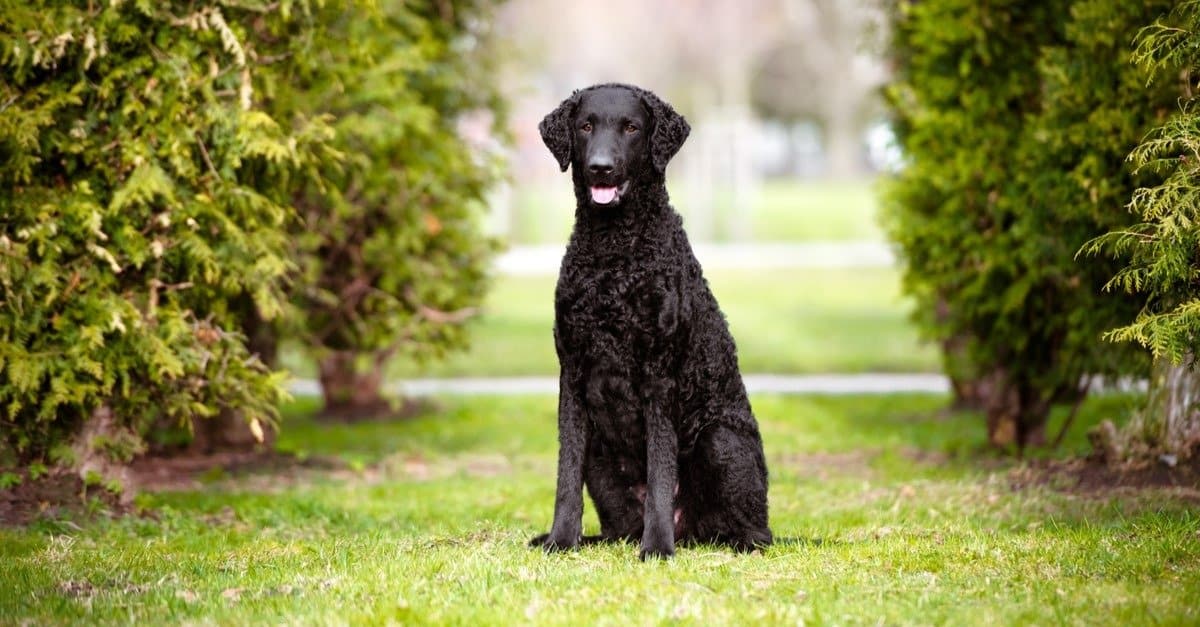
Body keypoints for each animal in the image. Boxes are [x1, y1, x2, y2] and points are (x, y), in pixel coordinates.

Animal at [530, 82, 772, 557]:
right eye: (585, 126)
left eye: (631, 128)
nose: (601, 168)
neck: (613, 252)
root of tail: (692, 533)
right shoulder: (572, 372)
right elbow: (565, 475)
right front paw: (560, 539)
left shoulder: (660, 376)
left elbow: (661, 471)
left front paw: (657, 546)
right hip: (602, 460)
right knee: (616, 528)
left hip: (720, 440)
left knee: (754, 533)